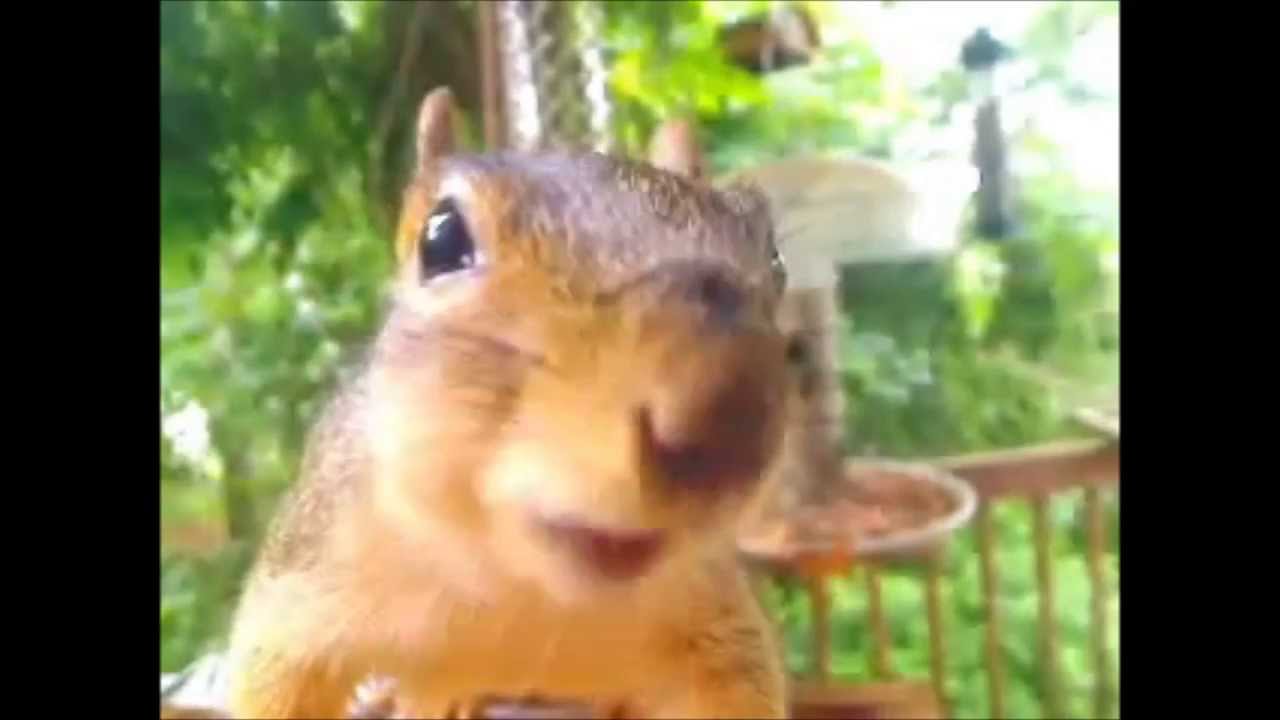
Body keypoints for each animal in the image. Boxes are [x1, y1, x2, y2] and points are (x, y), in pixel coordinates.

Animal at [225, 87, 793, 719]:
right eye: (440, 239)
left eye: (775, 260)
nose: (729, 420)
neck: (519, 594)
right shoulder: (303, 583)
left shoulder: (722, 623)